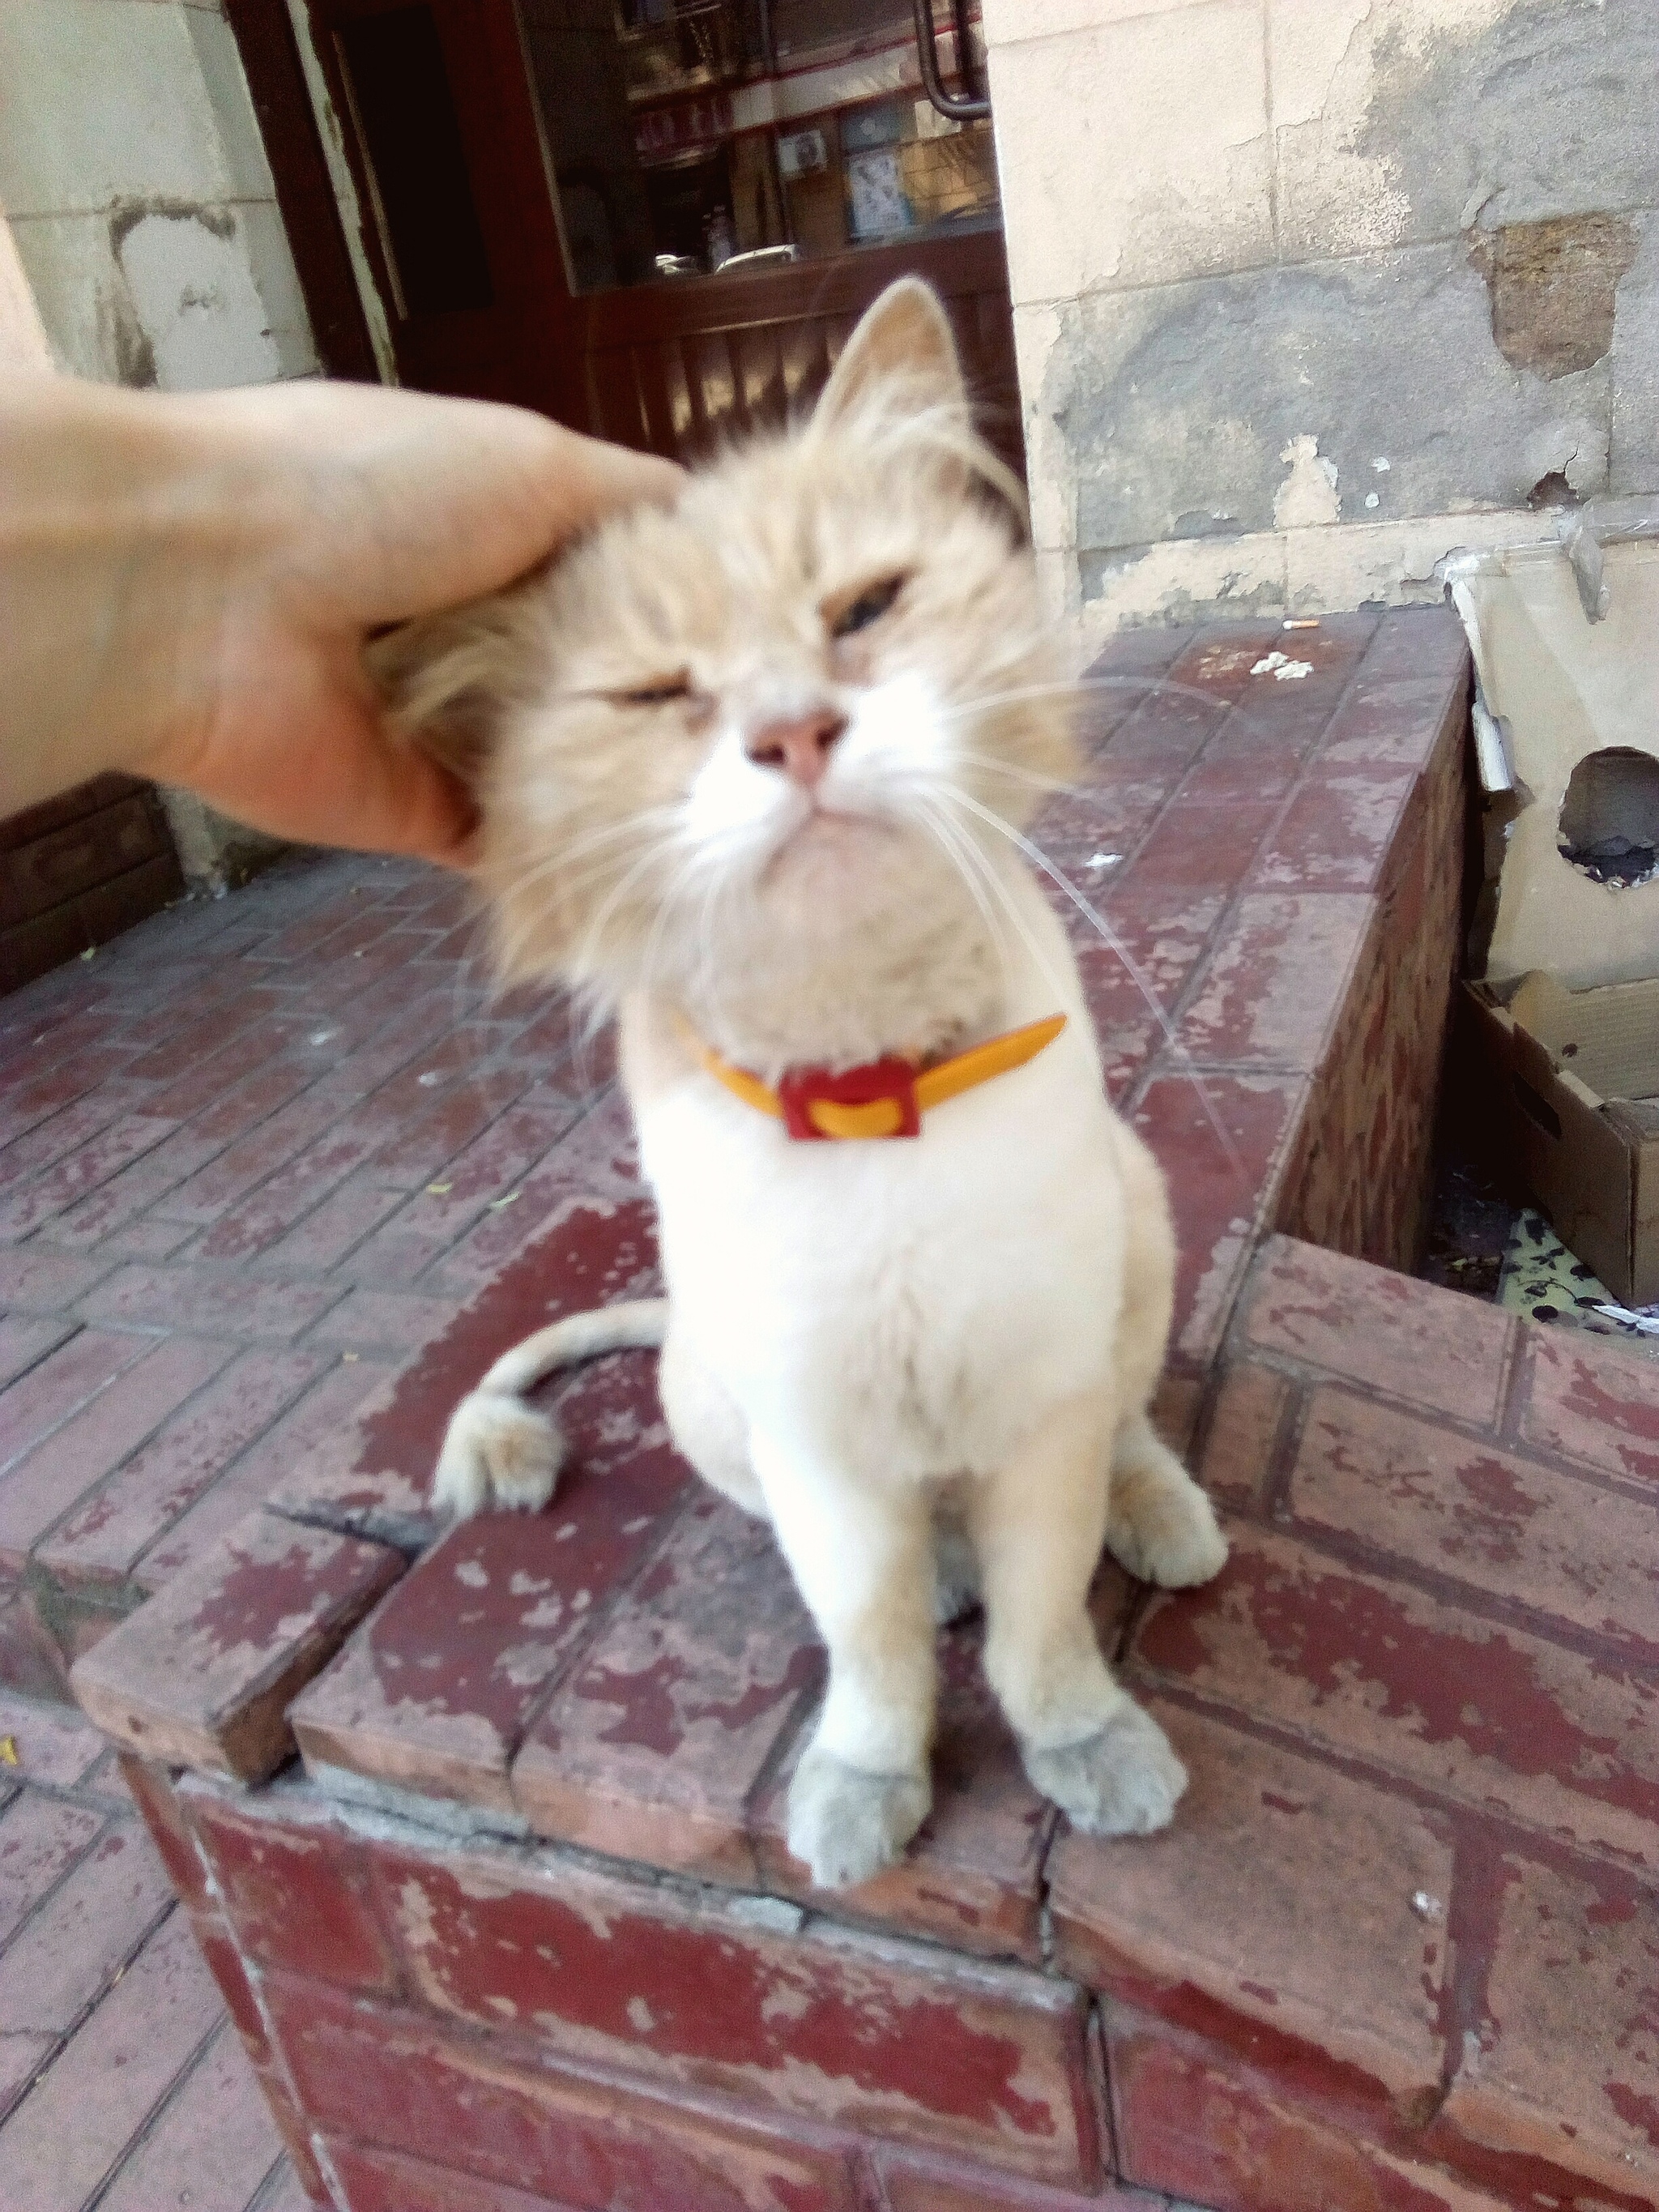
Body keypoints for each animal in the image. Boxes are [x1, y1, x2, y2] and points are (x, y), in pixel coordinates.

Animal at [376, 285, 1239, 1893]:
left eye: (863, 612)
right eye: (656, 694)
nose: (792, 733)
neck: (868, 1085)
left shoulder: (1038, 1407)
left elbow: (1045, 1631)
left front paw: (1090, 1751)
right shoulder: (823, 1455)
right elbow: (877, 1650)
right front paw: (866, 1789)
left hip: (1137, 1230)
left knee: (1130, 1433)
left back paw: (1162, 1522)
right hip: (709, 1397)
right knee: (925, 1560)